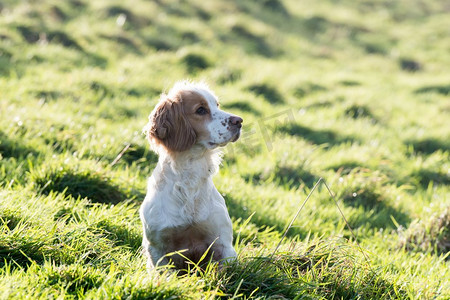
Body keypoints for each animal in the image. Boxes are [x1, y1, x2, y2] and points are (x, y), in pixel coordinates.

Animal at [142, 81, 243, 270]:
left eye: (217, 105)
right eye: (201, 110)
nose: (239, 121)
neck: (189, 177)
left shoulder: (223, 244)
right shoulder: (158, 248)